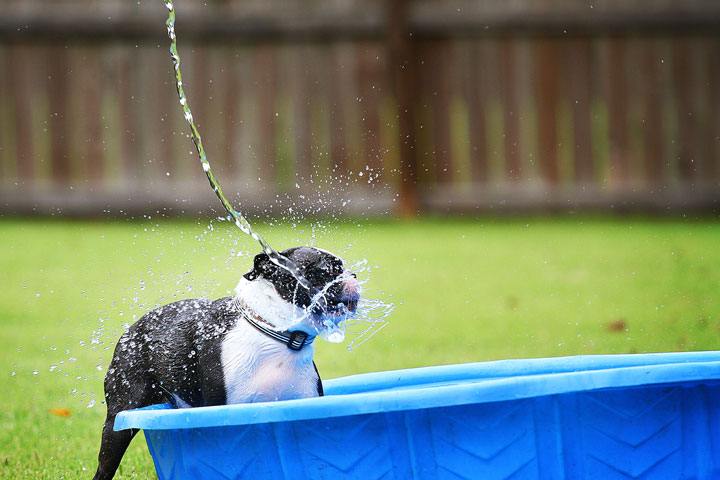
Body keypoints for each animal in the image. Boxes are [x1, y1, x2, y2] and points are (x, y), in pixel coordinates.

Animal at [93, 248, 358, 480]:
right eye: (326, 270)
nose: (354, 275)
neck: (275, 334)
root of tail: (131, 331)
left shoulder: (305, 400)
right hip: (118, 419)